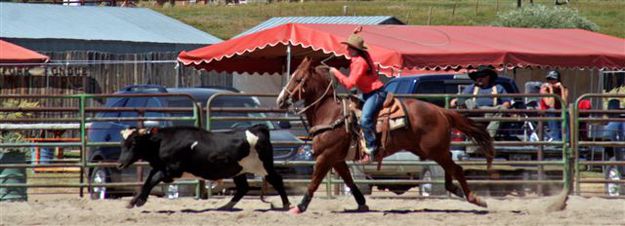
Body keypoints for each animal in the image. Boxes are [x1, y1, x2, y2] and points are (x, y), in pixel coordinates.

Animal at [117, 124, 290, 209]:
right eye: (122, 143)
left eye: (134, 142)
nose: (120, 163)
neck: (162, 142)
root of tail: (257, 130)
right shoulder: (159, 167)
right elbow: (147, 181)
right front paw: (133, 201)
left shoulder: (172, 170)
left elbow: (152, 181)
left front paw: (139, 202)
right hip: (238, 171)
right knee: (243, 188)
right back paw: (225, 207)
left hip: (263, 167)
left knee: (277, 180)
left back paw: (286, 205)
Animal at [276, 57, 492, 215]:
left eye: (297, 79)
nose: (280, 100)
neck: (330, 114)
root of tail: (442, 111)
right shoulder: (337, 159)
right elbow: (349, 181)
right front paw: (362, 203)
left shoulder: (326, 156)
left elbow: (313, 182)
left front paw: (300, 207)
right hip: (435, 150)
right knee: (451, 169)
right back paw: (457, 190)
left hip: (435, 150)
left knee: (457, 168)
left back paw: (476, 199)